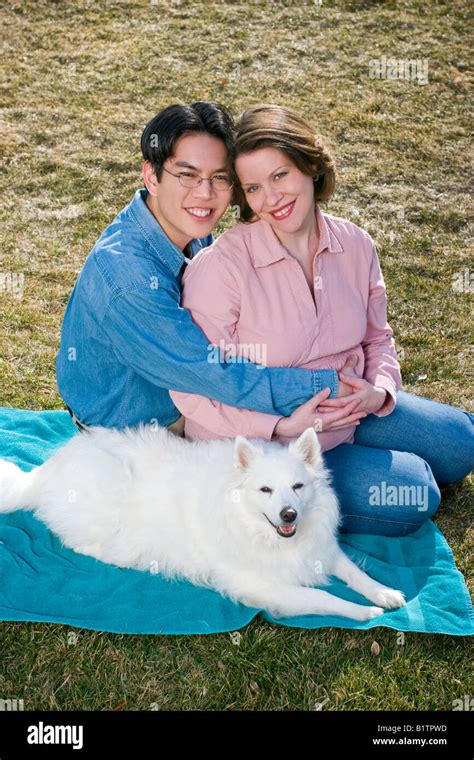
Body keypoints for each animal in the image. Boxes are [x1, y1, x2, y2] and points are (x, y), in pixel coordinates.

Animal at [0, 424, 406, 620]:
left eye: (297, 487)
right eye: (265, 490)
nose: (289, 514)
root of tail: (47, 470)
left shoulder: (322, 550)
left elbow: (356, 573)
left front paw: (384, 593)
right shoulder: (264, 586)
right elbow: (323, 596)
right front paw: (364, 612)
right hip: (110, 493)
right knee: (81, 541)